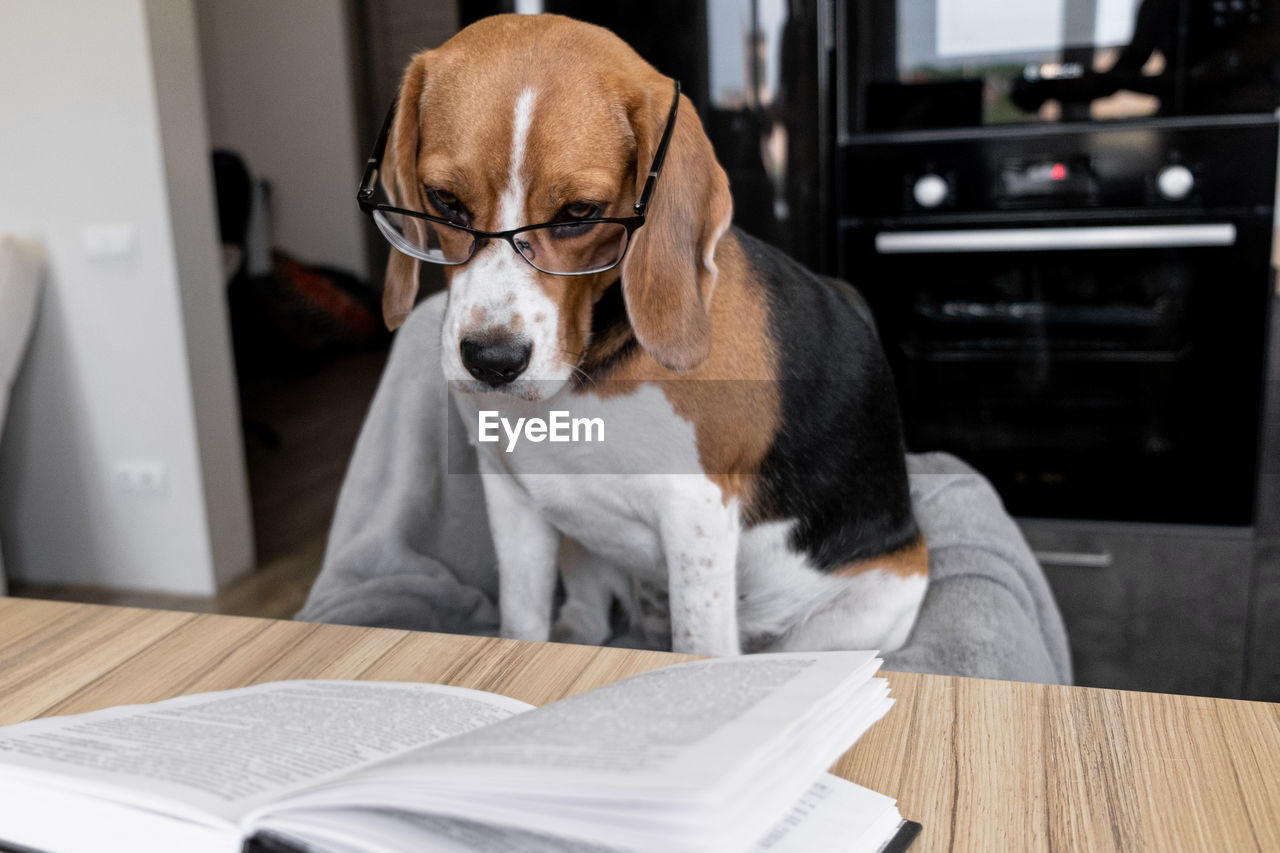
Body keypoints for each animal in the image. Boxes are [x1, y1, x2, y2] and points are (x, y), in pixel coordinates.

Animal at [373, 13, 926, 653]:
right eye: (444, 201)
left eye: (580, 212)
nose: (491, 361)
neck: (583, 378)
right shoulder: (509, 494)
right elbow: (520, 621)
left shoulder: (696, 516)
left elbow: (700, 645)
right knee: (589, 614)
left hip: (861, 610)